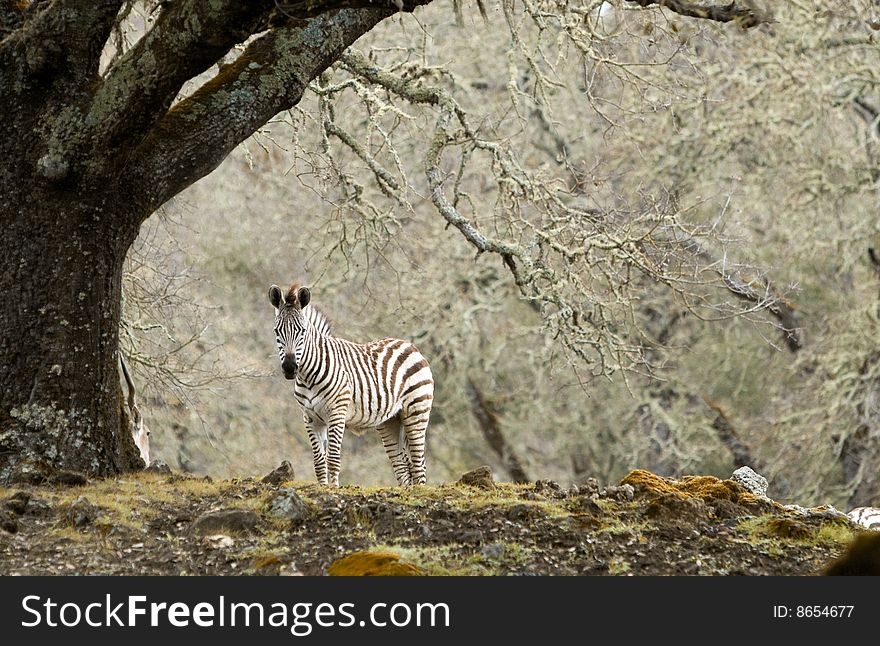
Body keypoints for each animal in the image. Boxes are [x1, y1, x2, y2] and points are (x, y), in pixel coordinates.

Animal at [268, 280, 434, 488]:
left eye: (303, 331)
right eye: (277, 331)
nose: (290, 368)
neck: (307, 376)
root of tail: (410, 345)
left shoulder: (337, 413)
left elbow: (332, 458)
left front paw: (333, 489)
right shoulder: (310, 418)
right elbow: (319, 461)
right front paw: (323, 488)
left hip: (416, 412)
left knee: (419, 465)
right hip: (390, 421)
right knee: (403, 466)